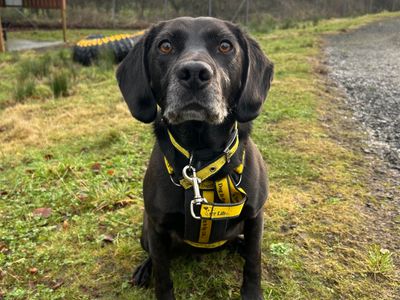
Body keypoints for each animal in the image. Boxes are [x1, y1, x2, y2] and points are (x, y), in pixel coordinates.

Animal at [115, 17, 272, 300]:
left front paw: (252, 292)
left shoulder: (256, 217)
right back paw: (145, 269)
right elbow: (163, 276)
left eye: (225, 46)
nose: (194, 73)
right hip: (145, 231)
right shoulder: (156, 227)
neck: (201, 159)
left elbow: (254, 262)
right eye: (165, 45)